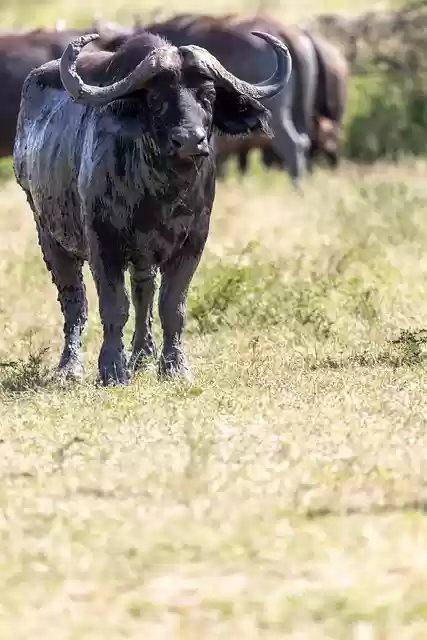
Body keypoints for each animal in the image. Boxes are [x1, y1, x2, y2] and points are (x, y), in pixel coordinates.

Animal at [13, 30, 291, 385]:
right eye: (157, 99)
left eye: (208, 96)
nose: (190, 140)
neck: (161, 192)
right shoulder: (103, 243)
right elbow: (114, 306)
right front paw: (111, 369)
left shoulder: (193, 242)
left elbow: (172, 306)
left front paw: (174, 367)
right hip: (48, 232)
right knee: (74, 299)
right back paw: (70, 367)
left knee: (143, 290)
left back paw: (143, 356)